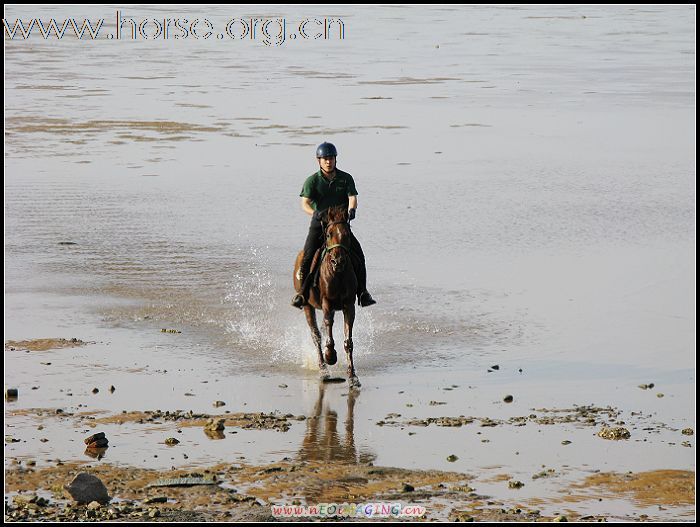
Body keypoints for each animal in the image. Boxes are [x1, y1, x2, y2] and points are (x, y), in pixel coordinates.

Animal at [294, 206, 360, 388]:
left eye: (347, 234)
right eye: (329, 234)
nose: (338, 261)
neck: (338, 274)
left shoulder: (348, 305)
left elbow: (348, 341)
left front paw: (353, 376)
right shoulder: (327, 303)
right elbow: (327, 332)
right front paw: (331, 356)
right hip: (308, 306)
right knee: (316, 336)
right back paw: (323, 369)